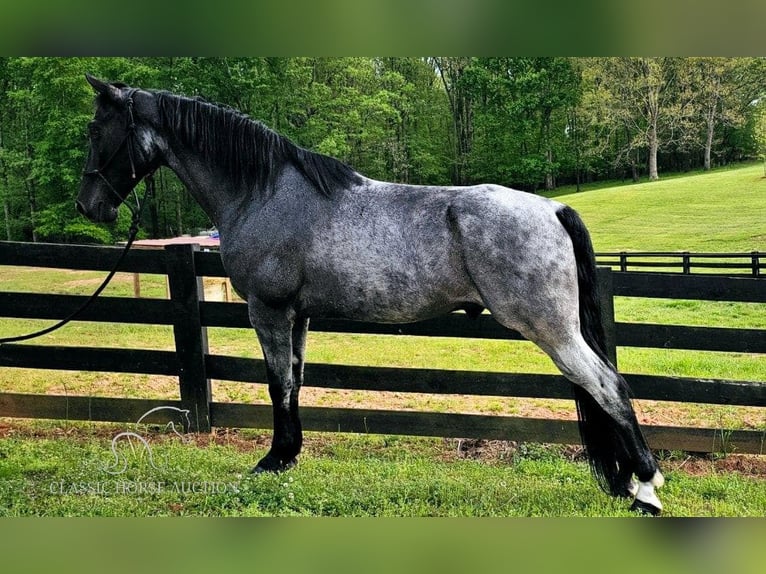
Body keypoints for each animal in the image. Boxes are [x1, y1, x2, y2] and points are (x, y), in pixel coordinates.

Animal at [76, 75, 664, 512]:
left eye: (95, 128)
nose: (88, 206)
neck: (263, 192)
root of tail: (552, 207)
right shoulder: (298, 316)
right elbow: (294, 383)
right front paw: (289, 456)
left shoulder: (268, 311)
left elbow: (276, 384)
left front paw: (271, 460)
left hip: (553, 331)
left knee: (609, 387)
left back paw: (646, 489)